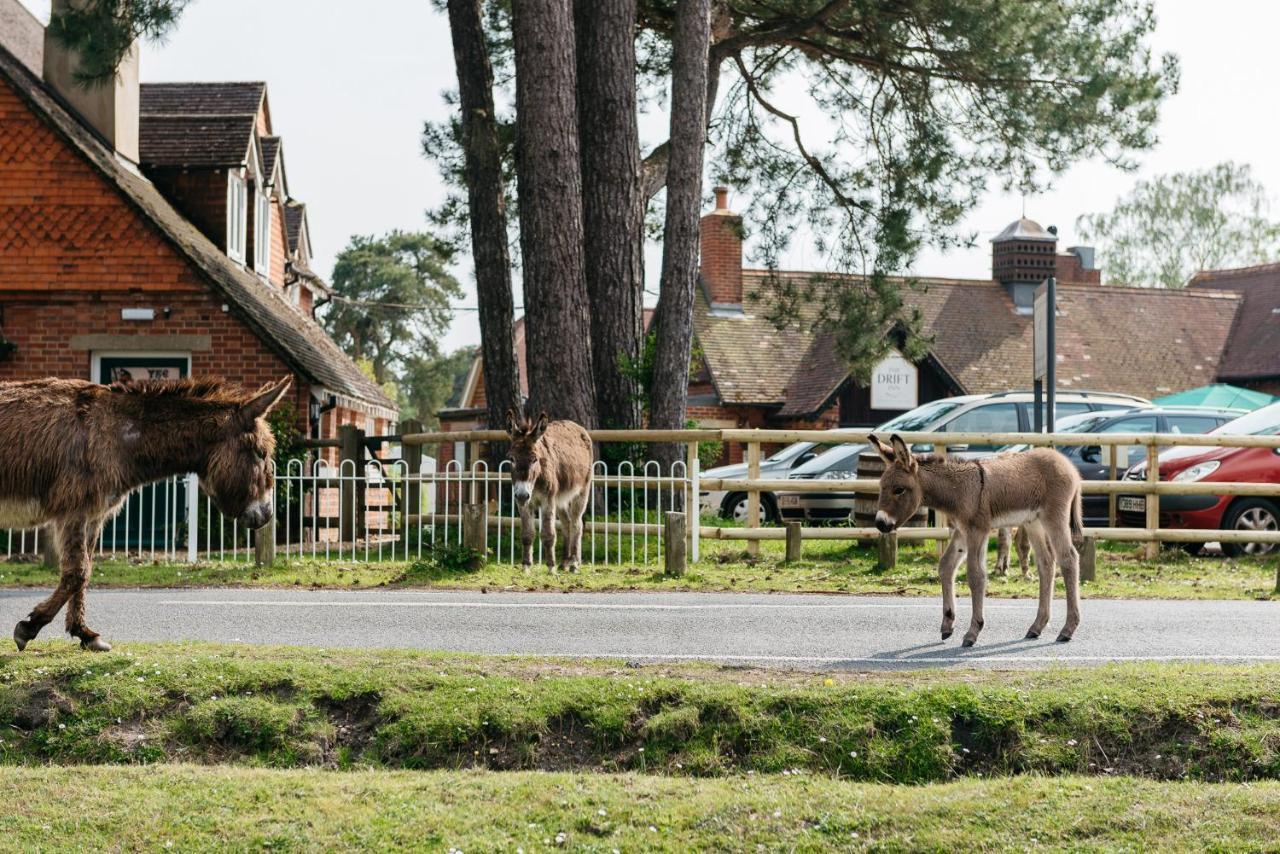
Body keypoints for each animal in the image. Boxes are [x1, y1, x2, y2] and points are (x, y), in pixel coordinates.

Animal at [865, 437, 1085, 645]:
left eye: (899, 489)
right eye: (881, 487)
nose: (880, 524)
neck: (959, 489)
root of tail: (1066, 463)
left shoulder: (977, 531)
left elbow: (975, 575)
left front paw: (973, 632)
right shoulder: (961, 531)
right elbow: (946, 566)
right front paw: (948, 623)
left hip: (1054, 516)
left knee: (1069, 558)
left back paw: (1067, 630)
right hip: (1034, 522)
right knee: (1046, 563)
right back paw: (1036, 627)